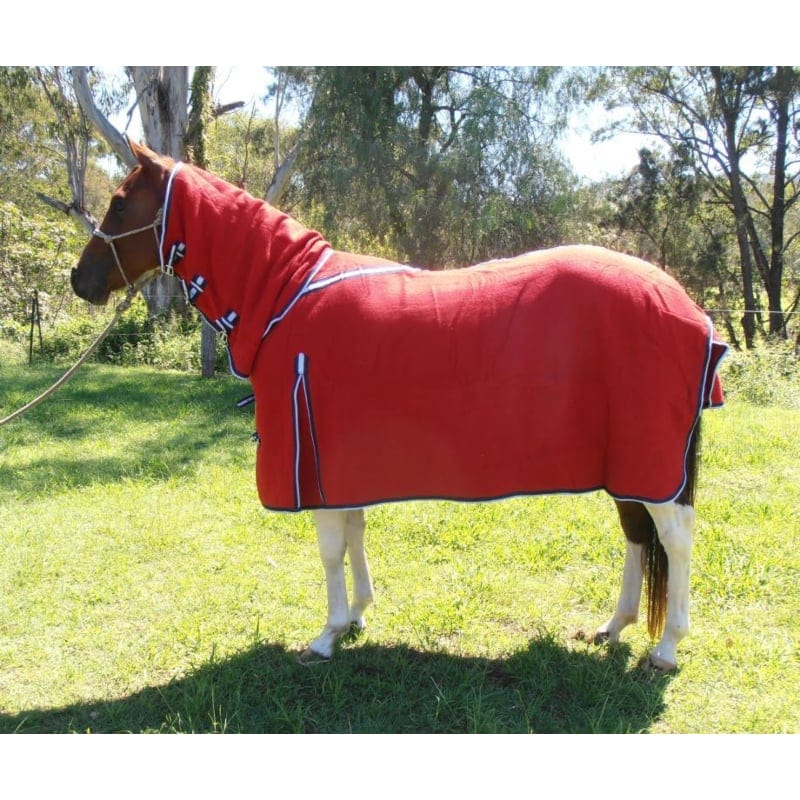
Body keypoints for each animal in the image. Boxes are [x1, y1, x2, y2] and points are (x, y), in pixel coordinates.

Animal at [71, 140, 728, 671]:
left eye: (121, 204)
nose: (81, 280)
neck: (285, 294)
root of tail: (690, 309)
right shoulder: (338, 466)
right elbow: (354, 532)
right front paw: (359, 615)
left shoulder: (312, 466)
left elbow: (331, 549)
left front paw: (327, 636)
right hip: (627, 464)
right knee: (636, 534)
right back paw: (612, 627)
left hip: (651, 460)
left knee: (675, 540)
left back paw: (667, 648)